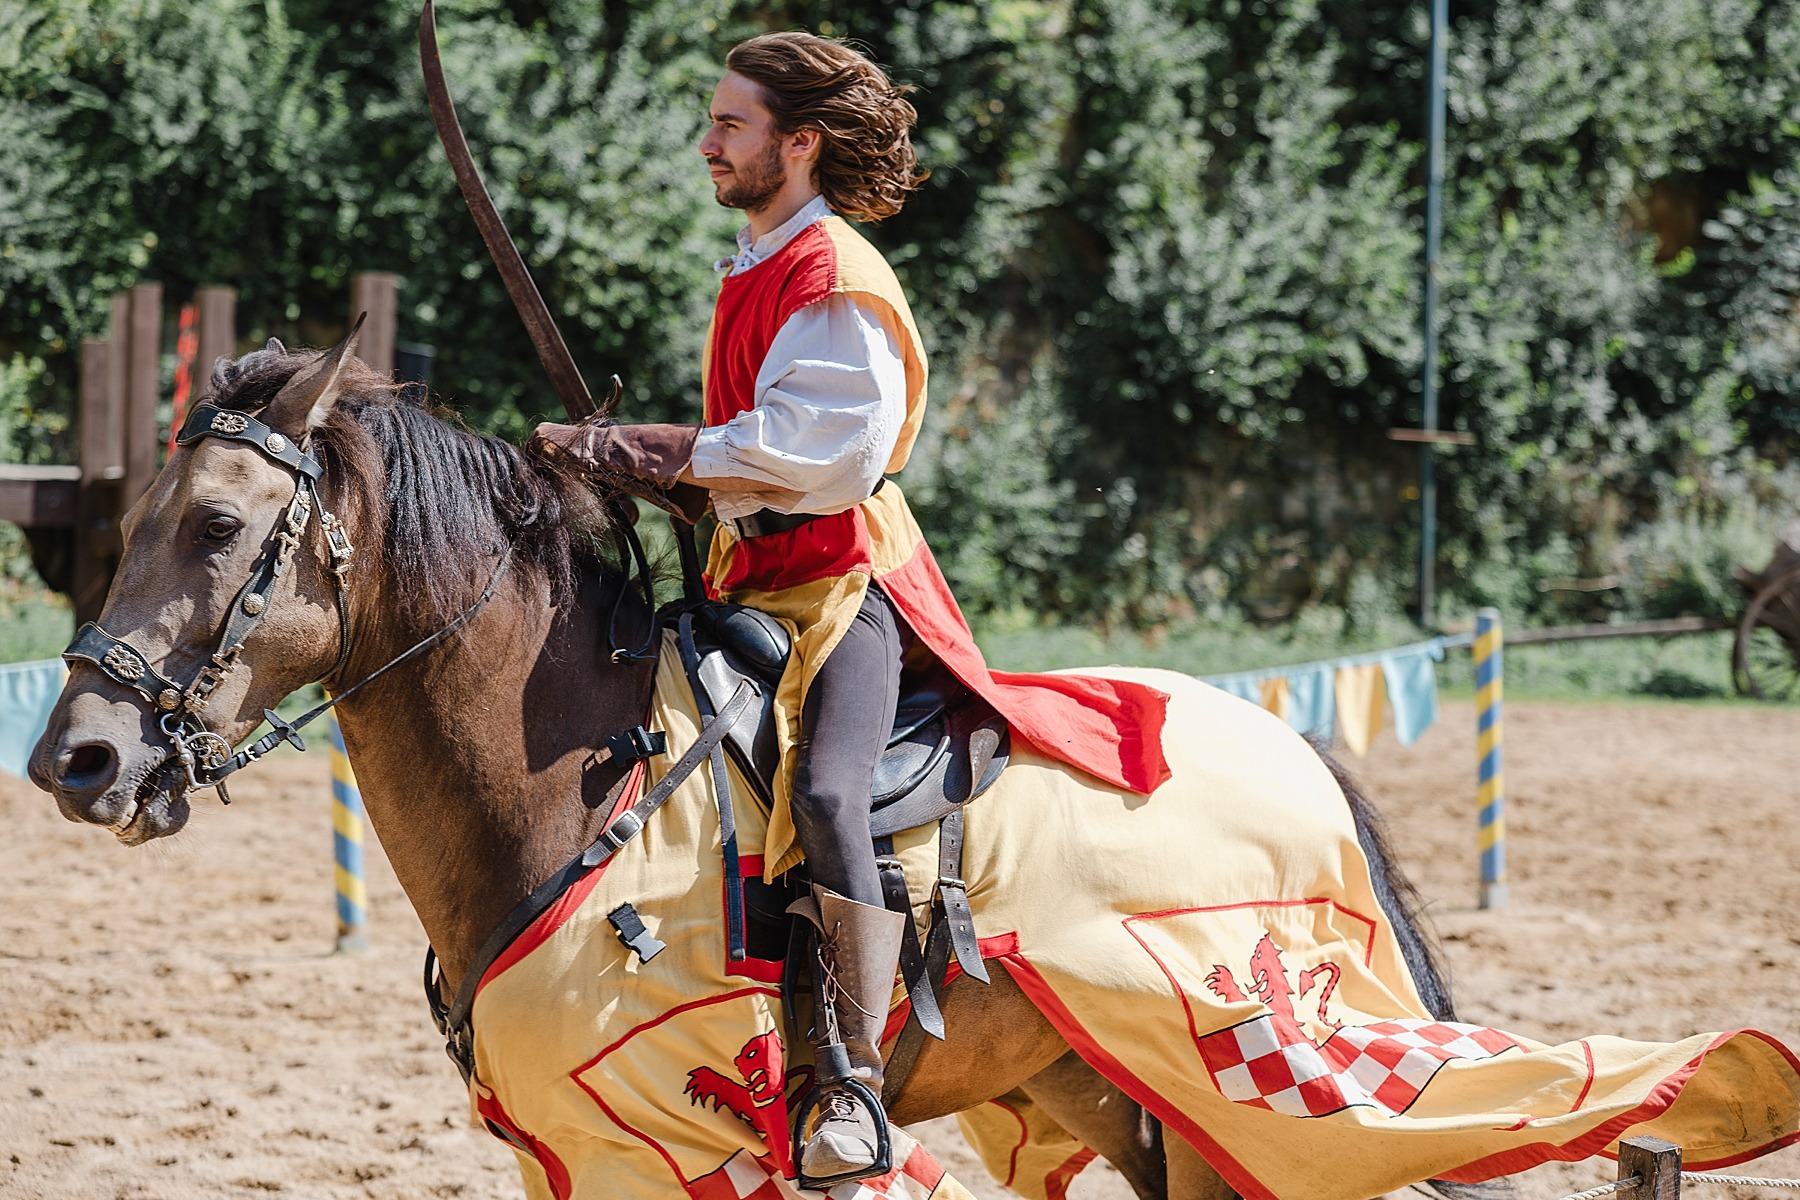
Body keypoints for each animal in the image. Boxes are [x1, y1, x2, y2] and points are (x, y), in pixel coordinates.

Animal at [24, 340, 1461, 1200]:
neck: (582, 782)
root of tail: (1294, 751)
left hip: (1225, 1078)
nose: (76, 757)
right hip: (1112, 1088)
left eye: (217, 525)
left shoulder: (696, 1135)